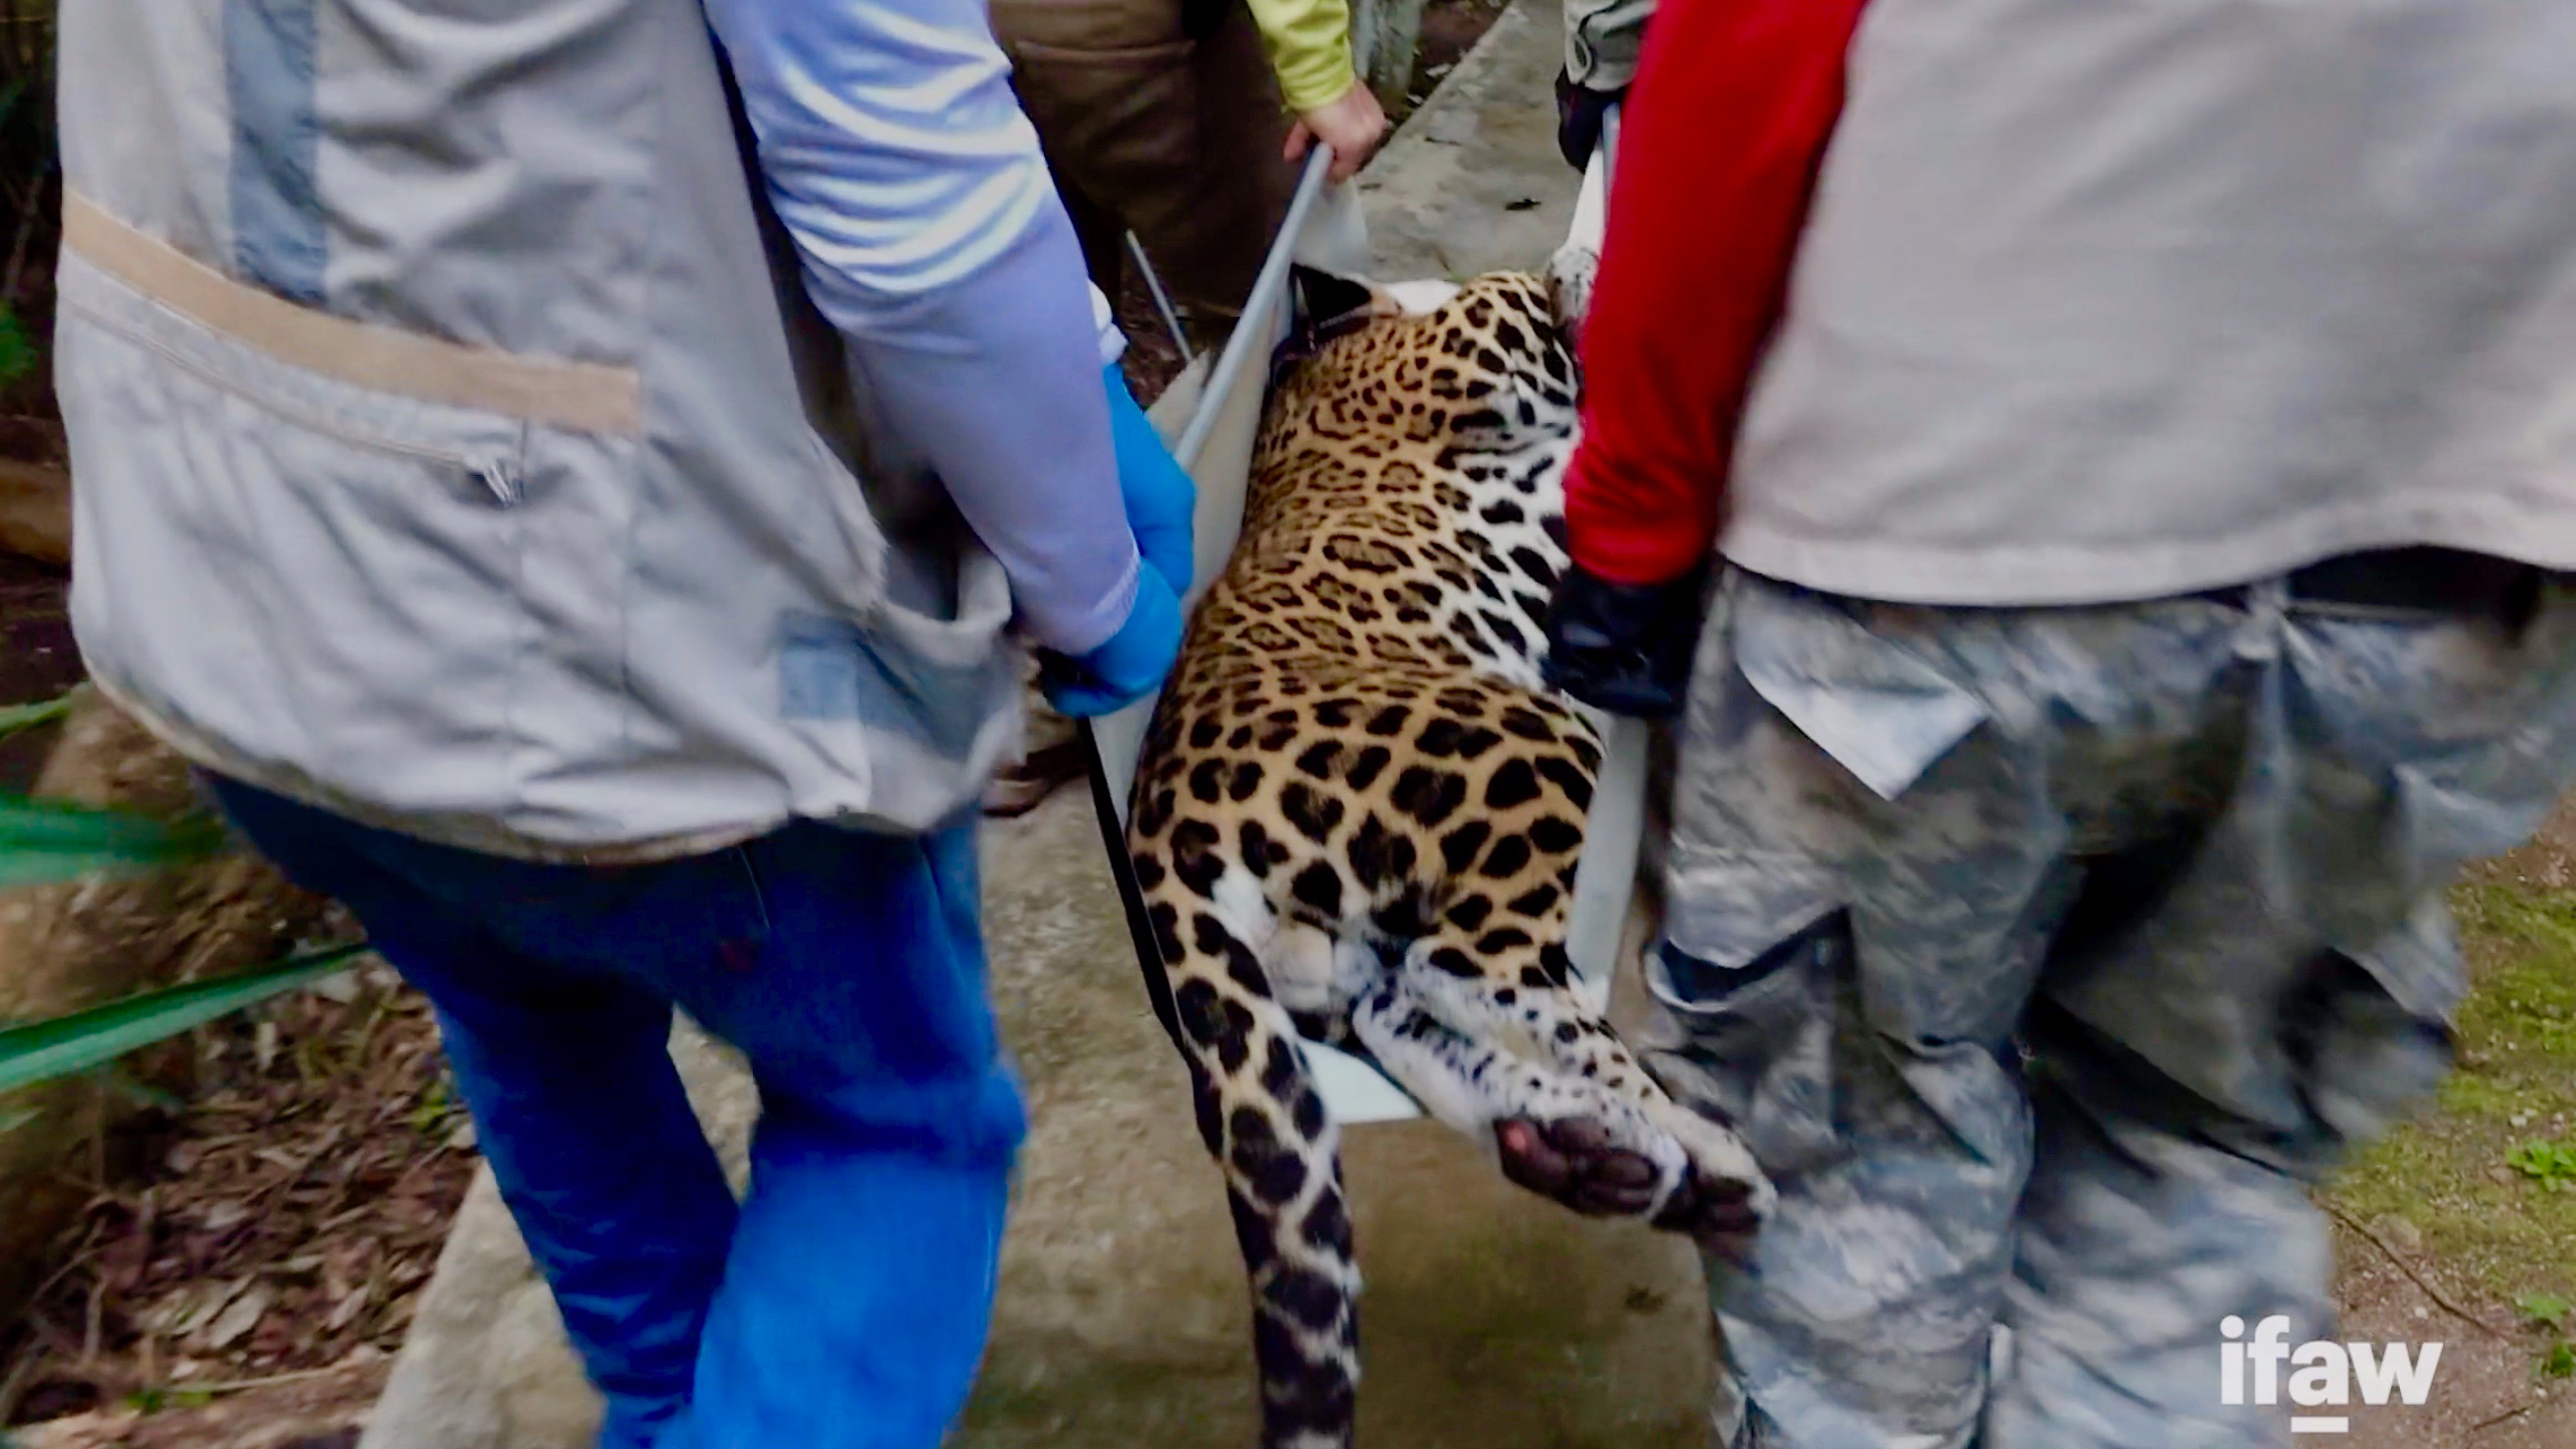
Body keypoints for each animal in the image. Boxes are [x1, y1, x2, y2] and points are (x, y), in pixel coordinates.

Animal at [1123, 259, 1774, 1449]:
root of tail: (1155, 826)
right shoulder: (1475, 347)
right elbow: (1521, 293)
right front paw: (1580, 281)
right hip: (1522, 740)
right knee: (1471, 967)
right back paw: (1687, 1148)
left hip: (1341, 945)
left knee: (1405, 1006)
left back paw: (1610, 1145)